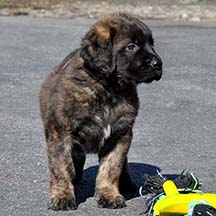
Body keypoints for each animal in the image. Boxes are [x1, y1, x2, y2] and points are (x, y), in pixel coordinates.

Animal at [40, 13, 162, 211]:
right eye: (131, 46)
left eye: (151, 44)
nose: (157, 63)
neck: (107, 88)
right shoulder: (60, 135)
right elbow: (61, 168)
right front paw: (62, 196)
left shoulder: (120, 135)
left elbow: (111, 168)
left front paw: (109, 195)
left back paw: (126, 183)